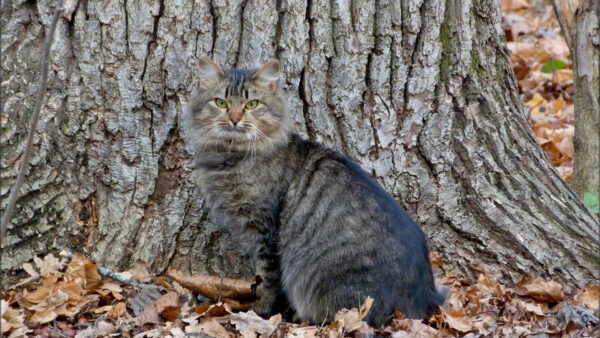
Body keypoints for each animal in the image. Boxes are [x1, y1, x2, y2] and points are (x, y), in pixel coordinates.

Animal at [182, 56, 446, 326]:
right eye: (221, 102)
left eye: (251, 104)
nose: (234, 119)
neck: (231, 156)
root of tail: (425, 296)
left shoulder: (267, 232)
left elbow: (268, 281)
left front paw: (260, 312)